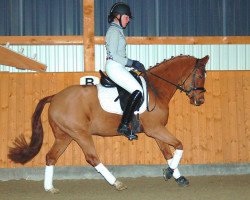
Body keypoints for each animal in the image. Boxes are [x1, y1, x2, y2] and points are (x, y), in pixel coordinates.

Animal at [8, 54, 209, 192]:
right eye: (200, 75)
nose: (200, 101)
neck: (156, 90)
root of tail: (55, 97)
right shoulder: (155, 129)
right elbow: (180, 145)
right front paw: (169, 173)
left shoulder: (157, 130)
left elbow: (168, 153)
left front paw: (177, 176)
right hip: (80, 134)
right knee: (92, 158)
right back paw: (116, 182)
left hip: (65, 136)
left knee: (51, 157)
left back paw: (49, 188)